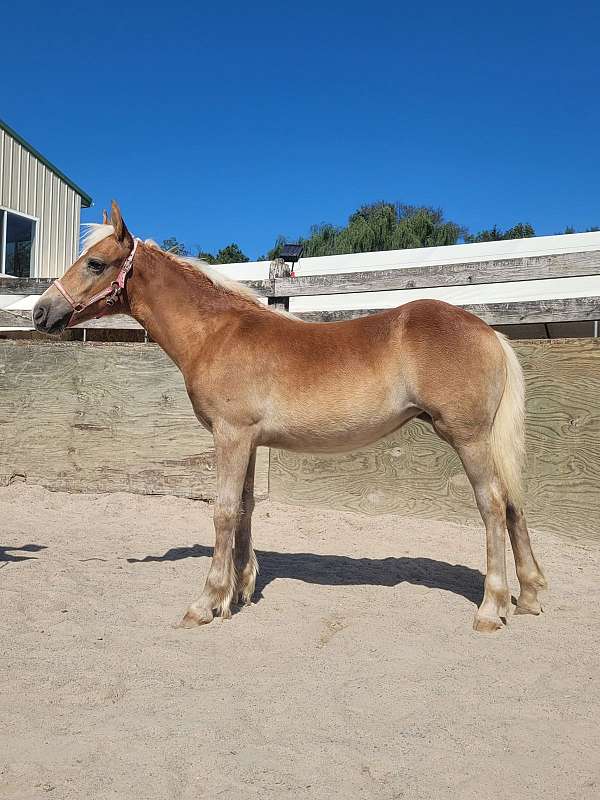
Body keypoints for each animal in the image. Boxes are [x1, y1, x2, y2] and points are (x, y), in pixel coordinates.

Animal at [32, 200, 548, 632]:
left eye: (95, 263)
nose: (41, 312)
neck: (216, 333)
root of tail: (488, 332)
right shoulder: (247, 441)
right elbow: (244, 510)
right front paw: (237, 594)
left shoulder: (230, 436)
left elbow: (222, 512)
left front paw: (205, 603)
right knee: (514, 503)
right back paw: (528, 597)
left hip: (467, 438)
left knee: (493, 505)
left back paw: (491, 608)